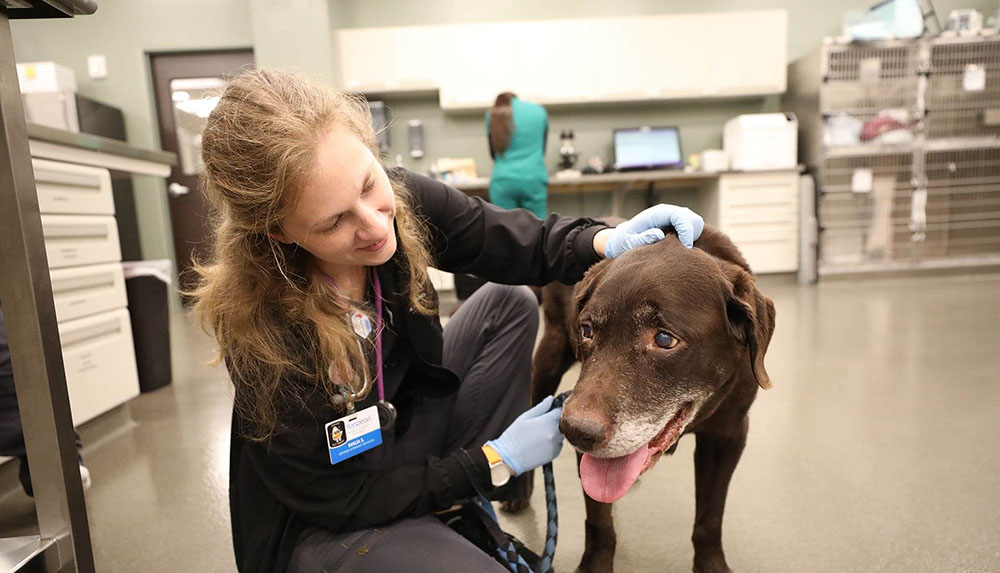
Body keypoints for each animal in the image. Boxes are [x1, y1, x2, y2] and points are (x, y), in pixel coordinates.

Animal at [532, 226, 772, 568]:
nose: (576, 432)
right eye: (587, 330)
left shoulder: (728, 436)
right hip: (550, 353)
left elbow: (710, 517)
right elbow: (599, 523)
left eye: (664, 339)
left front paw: (711, 563)